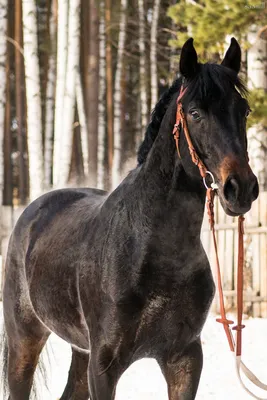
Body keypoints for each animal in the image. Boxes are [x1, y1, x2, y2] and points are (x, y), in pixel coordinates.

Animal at [0, 37, 260, 400]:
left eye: (244, 110)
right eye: (195, 113)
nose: (241, 188)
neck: (149, 247)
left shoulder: (184, 358)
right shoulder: (104, 365)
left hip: (79, 351)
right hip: (25, 341)